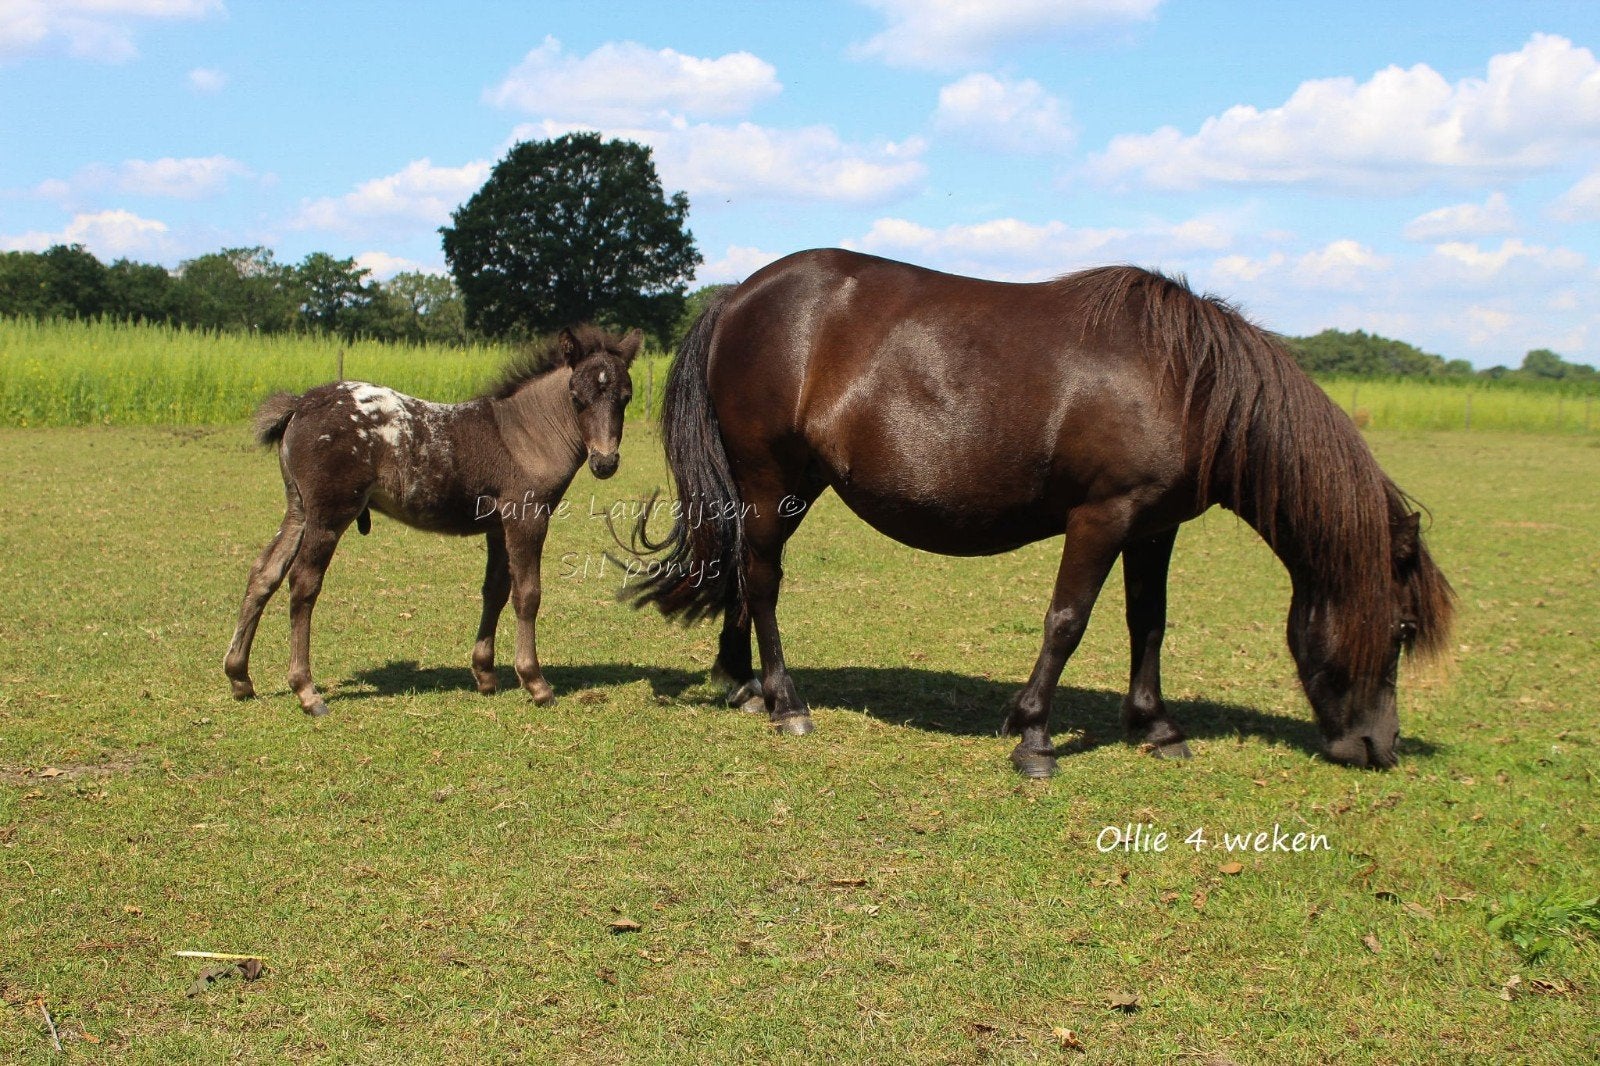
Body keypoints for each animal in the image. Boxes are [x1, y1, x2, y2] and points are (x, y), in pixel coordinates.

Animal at [225, 325, 640, 717]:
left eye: (625, 398)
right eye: (576, 397)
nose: (604, 462)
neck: (523, 435)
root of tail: (300, 403)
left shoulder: (497, 527)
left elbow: (495, 591)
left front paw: (485, 674)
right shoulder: (527, 519)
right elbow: (528, 594)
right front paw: (536, 683)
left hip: (298, 511)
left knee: (264, 572)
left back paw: (239, 677)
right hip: (328, 515)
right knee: (303, 584)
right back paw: (307, 691)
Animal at [627, 249, 1454, 777]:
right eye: (1401, 629)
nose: (1379, 749)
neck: (1186, 382)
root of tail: (738, 295)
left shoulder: (1154, 528)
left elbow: (1148, 624)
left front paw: (1157, 728)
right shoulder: (1102, 517)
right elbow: (1068, 622)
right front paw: (1033, 738)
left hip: (792, 485)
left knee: (742, 567)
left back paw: (742, 684)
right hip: (771, 478)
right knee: (763, 579)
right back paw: (786, 702)